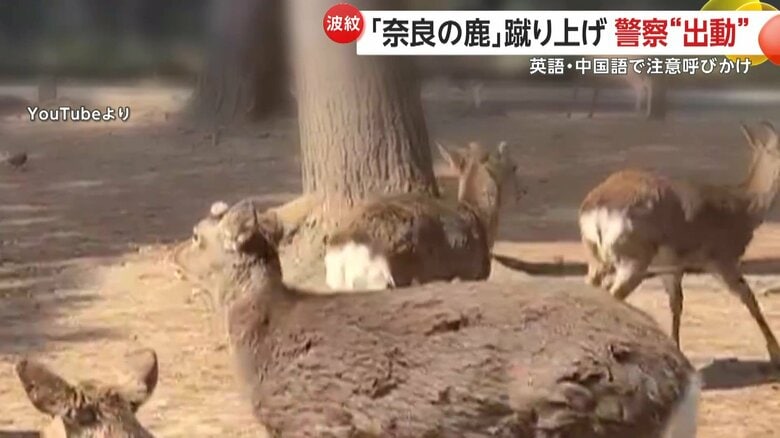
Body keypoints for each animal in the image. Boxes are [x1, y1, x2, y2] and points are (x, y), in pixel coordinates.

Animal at [579, 120, 780, 366]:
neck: (745, 210)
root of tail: (597, 209)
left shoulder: (670, 266)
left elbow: (676, 303)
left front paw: (676, 349)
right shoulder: (722, 258)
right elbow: (749, 298)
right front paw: (775, 353)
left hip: (596, 257)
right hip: (633, 258)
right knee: (613, 294)